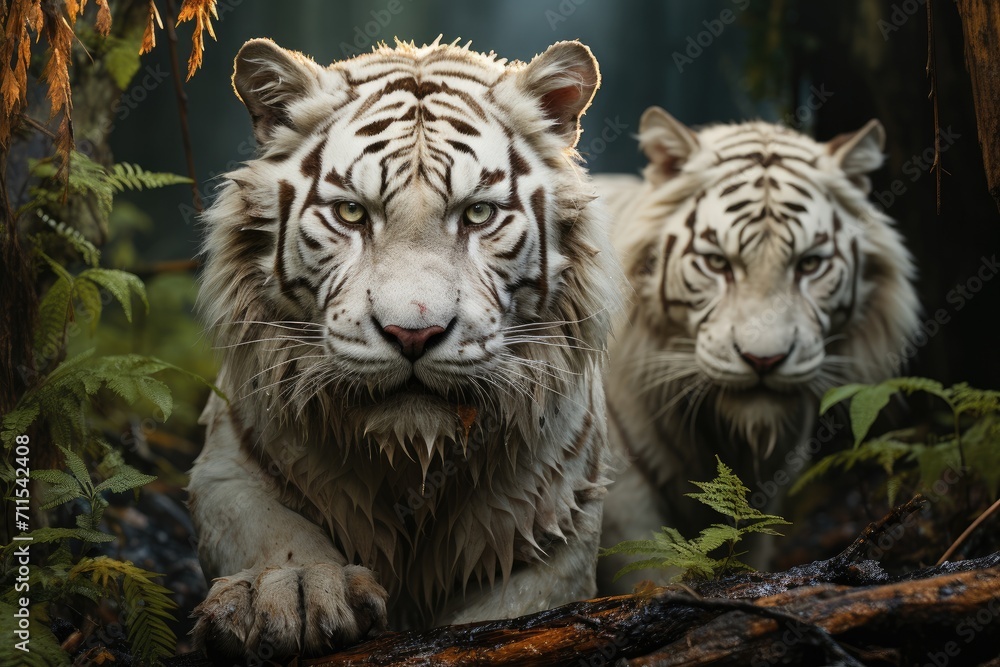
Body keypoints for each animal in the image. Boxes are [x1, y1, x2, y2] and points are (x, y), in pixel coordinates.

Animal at [188, 37, 622, 660]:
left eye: (478, 213)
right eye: (351, 212)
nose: (413, 334)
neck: (412, 455)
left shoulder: (561, 516)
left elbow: (517, 612)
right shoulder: (227, 466)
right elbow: (267, 526)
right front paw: (290, 587)